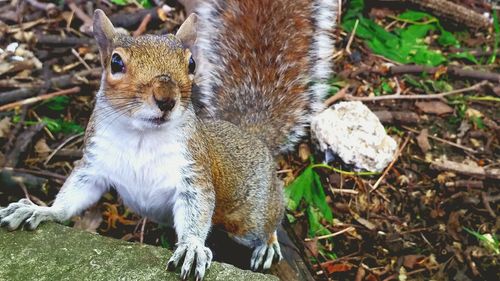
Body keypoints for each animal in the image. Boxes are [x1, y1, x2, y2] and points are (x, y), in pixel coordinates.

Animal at [1, 0, 338, 278]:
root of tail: (250, 135)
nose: (166, 98)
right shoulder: (94, 165)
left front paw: (191, 247)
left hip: (249, 217)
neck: (141, 135)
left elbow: (196, 210)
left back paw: (267, 244)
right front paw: (40, 210)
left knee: (269, 219)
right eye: (116, 63)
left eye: (191, 64)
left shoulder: (194, 174)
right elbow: (73, 197)